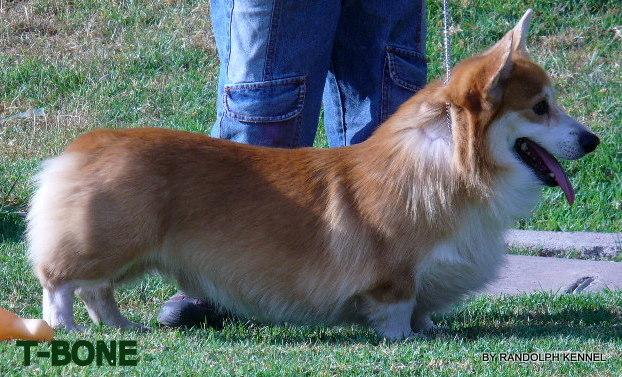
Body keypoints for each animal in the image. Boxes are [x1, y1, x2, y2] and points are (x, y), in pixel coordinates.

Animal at [28, 10, 600, 338]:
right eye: (541, 108)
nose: (594, 140)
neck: (446, 164)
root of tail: (76, 151)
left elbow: (424, 308)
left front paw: (430, 330)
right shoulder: (394, 275)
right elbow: (397, 308)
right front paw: (406, 339)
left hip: (129, 253)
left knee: (99, 291)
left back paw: (124, 325)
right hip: (110, 242)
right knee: (61, 282)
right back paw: (64, 328)